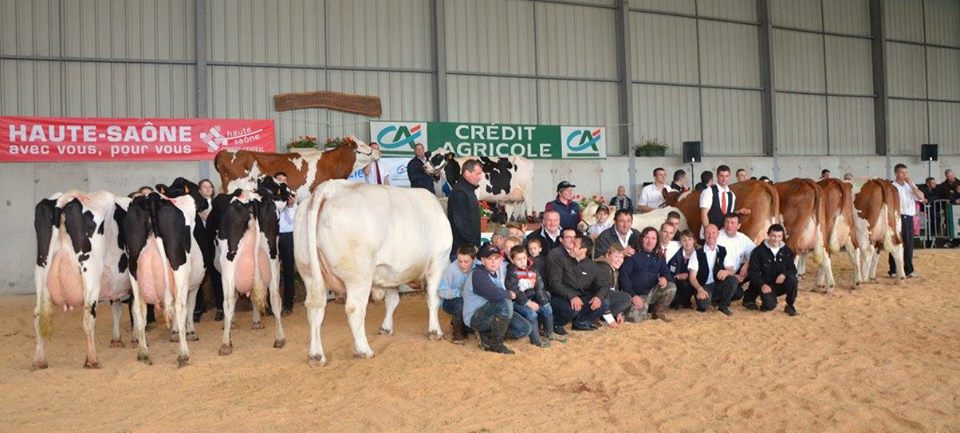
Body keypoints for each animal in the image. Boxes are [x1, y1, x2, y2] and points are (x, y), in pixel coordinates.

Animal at [32, 190, 131, 368]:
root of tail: (65, 198)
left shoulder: (116, 283)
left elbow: (117, 309)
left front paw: (116, 340)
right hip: (91, 274)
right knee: (88, 316)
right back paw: (92, 359)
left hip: (40, 271)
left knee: (37, 317)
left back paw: (39, 360)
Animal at [124, 184, 206, 366]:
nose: (205, 201)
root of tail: (151, 198)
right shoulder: (194, 284)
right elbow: (190, 306)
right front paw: (189, 332)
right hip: (179, 266)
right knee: (180, 307)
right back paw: (183, 354)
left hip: (133, 269)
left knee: (138, 309)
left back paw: (143, 352)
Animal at [204, 176, 290, 354]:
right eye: (279, 186)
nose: (291, 193)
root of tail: (252, 198)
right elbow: (255, 293)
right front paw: (256, 321)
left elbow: (236, 297)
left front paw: (231, 324)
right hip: (273, 257)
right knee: (275, 296)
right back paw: (280, 338)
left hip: (228, 262)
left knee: (228, 299)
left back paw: (225, 344)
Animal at [294, 179, 452, 364]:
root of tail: (330, 189)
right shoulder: (438, 262)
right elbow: (433, 299)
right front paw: (435, 331)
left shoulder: (391, 274)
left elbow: (392, 300)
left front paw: (386, 328)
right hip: (358, 276)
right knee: (354, 309)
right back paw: (364, 350)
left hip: (308, 272)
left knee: (315, 308)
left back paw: (316, 355)